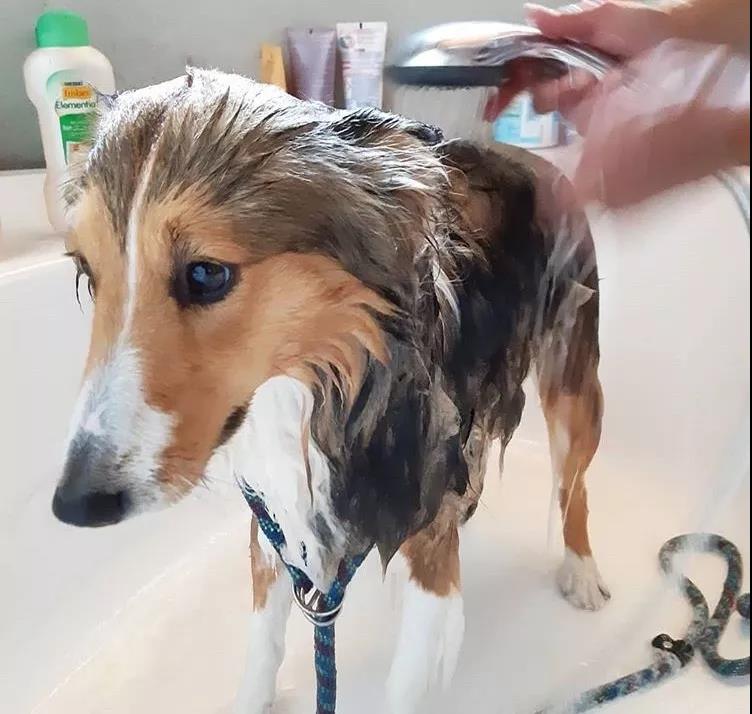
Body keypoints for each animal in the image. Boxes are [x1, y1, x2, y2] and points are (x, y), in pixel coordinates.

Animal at [52, 69, 608, 713]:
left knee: (575, 483)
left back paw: (582, 571)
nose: (74, 505)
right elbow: (263, 647)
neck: (314, 392)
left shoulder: (430, 554)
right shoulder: (275, 520)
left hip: (575, 387)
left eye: (207, 274)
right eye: (87, 273)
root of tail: (531, 158)